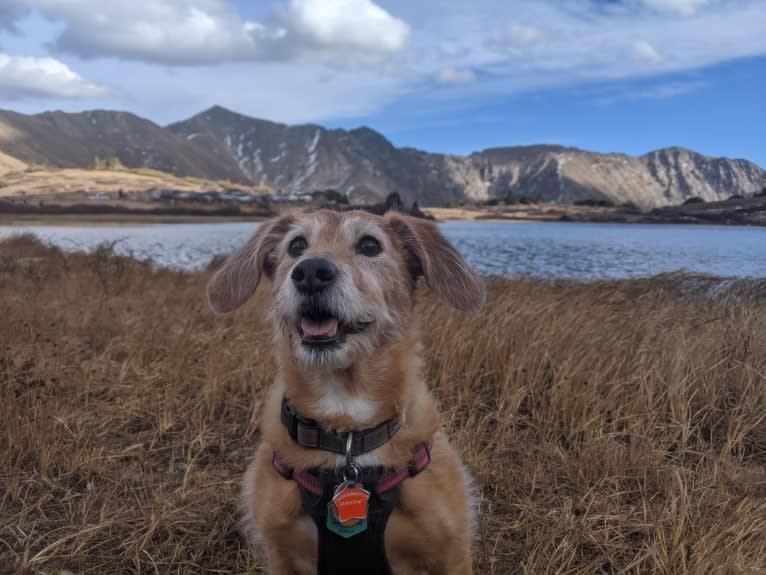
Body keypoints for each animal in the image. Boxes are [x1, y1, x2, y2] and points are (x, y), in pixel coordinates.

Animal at [208, 212, 486, 575]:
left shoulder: (452, 553)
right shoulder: (280, 551)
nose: (311, 272)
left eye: (369, 245)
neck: (348, 433)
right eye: (296, 245)